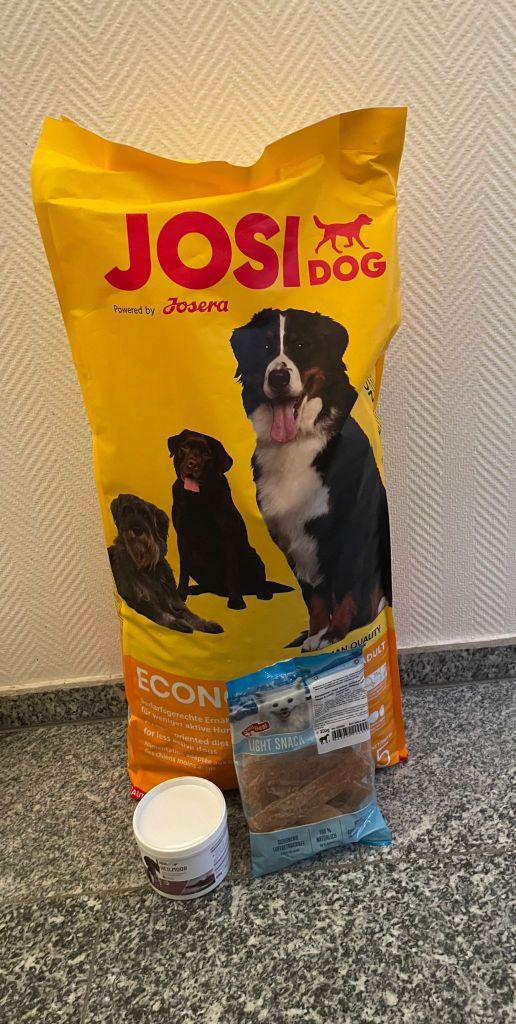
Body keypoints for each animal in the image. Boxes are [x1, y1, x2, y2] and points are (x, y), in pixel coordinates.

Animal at [108, 493, 223, 634]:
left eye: (146, 516)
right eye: (127, 511)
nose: (137, 529)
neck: (147, 568)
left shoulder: (174, 600)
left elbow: (191, 615)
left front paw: (206, 624)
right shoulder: (139, 601)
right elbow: (160, 614)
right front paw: (177, 622)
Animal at [168, 430, 292, 610]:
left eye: (207, 454)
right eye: (184, 447)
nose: (192, 464)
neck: (197, 498)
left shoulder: (226, 539)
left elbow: (232, 572)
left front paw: (236, 601)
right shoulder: (183, 538)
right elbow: (184, 571)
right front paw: (181, 595)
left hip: (253, 557)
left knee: (260, 582)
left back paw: (264, 593)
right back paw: (196, 589)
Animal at [230, 308, 392, 651]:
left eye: (301, 345)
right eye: (265, 347)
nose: (278, 377)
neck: (295, 445)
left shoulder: (349, 530)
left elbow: (343, 590)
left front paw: (335, 634)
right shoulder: (290, 538)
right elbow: (313, 597)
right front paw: (317, 634)